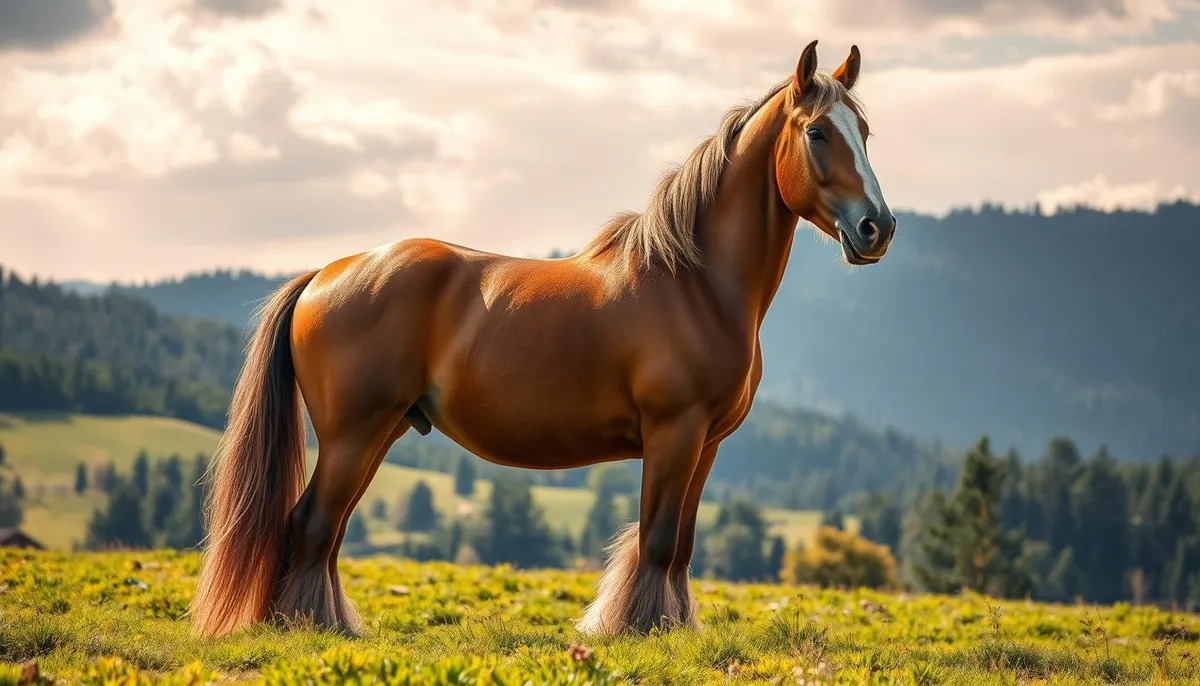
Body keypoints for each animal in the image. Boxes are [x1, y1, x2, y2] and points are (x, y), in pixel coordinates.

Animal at [189, 39, 896, 639]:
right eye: (817, 132)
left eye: (864, 133)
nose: (876, 228)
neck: (694, 283)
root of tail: (323, 275)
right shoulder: (673, 432)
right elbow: (658, 539)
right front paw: (633, 630)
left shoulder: (707, 443)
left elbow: (681, 544)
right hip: (353, 434)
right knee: (312, 525)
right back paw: (310, 628)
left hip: (378, 432)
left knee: (326, 531)